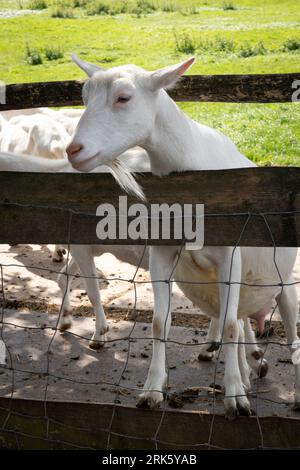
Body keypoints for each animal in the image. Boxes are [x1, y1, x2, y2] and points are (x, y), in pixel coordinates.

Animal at [65, 56, 300, 418]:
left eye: (123, 98)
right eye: (84, 96)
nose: (74, 150)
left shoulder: (230, 254)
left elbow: (229, 325)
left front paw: (235, 398)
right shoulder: (162, 252)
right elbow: (160, 322)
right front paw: (151, 390)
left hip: (284, 284)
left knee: (289, 334)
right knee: (243, 321)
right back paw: (249, 365)